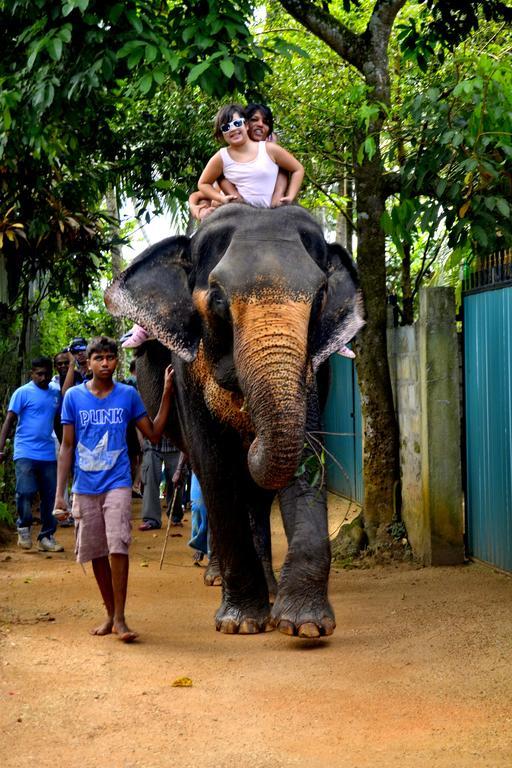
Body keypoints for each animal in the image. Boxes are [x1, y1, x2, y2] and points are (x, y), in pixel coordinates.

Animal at [106, 202, 364, 636]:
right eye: (217, 298)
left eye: (320, 297)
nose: (250, 431)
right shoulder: (187, 369)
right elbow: (215, 466)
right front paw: (242, 624)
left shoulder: (315, 370)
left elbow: (305, 456)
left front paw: (305, 625)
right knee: (204, 474)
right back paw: (215, 577)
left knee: (256, 496)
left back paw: (270, 587)